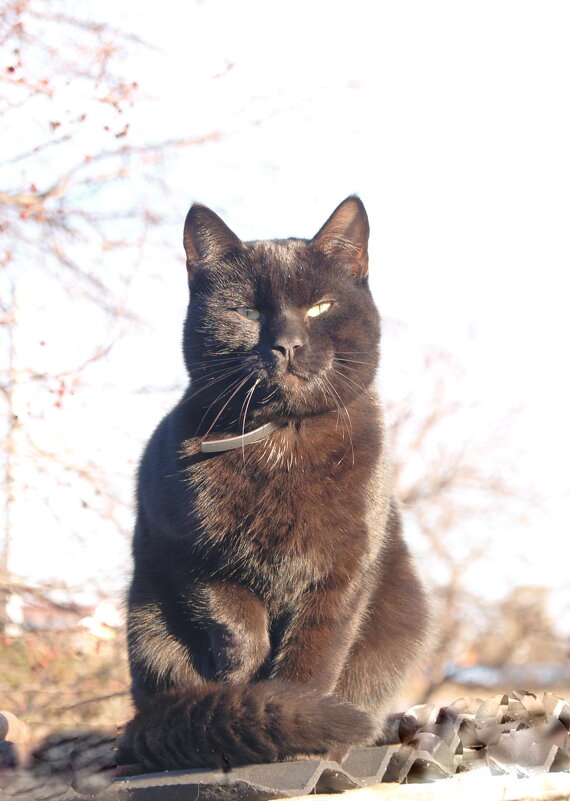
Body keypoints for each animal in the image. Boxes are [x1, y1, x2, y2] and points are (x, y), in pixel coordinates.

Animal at [121, 194, 430, 768]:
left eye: (319, 309)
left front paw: (296, 719)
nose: (287, 344)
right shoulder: (186, 547)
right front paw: (249, 694)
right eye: (249, 312)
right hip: (147, 620)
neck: (283, 438)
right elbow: (235, 621)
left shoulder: (342, 574)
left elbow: (314, 654)